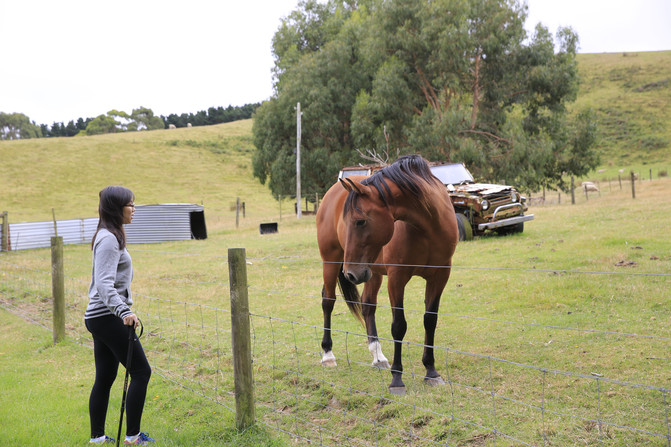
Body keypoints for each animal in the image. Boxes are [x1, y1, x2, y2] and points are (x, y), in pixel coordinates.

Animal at [318, 155, 460, 396]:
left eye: (360, 221)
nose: (350, 273)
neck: (428, 227)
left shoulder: (439, 276)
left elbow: (430, 320)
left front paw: (431, 371)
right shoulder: (397, 278)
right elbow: (399, 326)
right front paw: (397, 379)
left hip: (371, 272)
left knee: (368, 306)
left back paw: (378, 357)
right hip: (332, 261)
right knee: (328, 300)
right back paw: (328, 355)